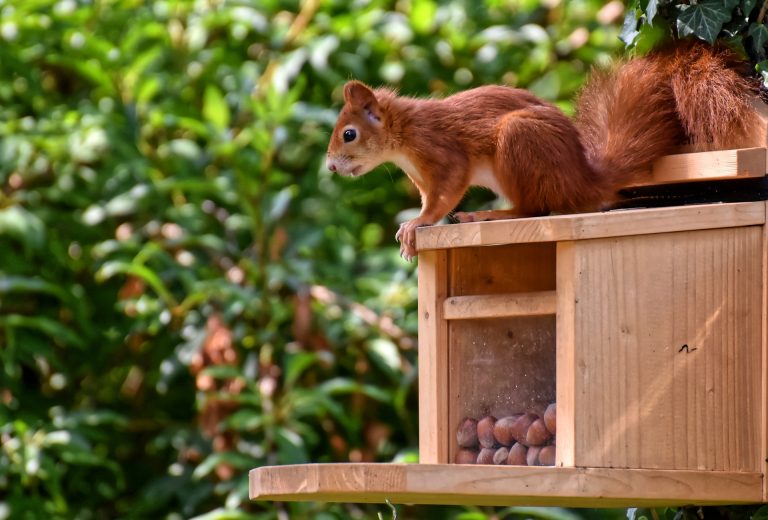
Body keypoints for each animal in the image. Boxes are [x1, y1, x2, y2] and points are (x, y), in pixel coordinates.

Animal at [324, 40, 760, 260]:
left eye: (349, 134)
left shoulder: (444, 153)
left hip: (518, 141)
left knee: (533, 208)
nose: (329, 168)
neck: (404, 135)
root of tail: (584, 182)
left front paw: (417, 225)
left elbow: (444, 194)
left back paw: (489, 214)